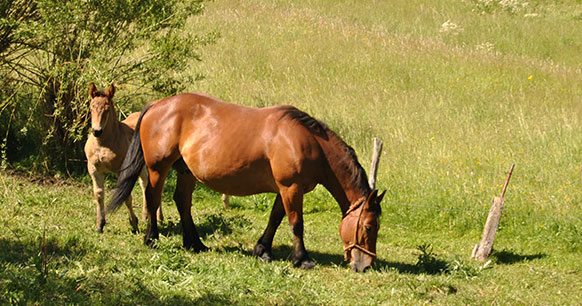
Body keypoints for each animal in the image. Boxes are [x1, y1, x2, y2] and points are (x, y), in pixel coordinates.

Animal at [84, 83, 163, 232]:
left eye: (107, 109)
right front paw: (99, 225)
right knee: (145, 183)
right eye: (91, 108)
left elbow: (126, 196)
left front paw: (134, 223)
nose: (96, 131)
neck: (104, 144)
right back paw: (146, 215)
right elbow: (98, 194)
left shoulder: (122, 170)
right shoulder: (94, 169)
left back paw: (159, 216)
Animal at [107, 92, 386, 272]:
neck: (308, 142)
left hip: (186, 171)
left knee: (182, 203)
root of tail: (157, 105)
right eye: (369, 226)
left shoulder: (284, 190)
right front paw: (302, 259)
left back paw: (195, 243)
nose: (366, 265)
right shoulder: (291, 188)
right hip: (158, 168)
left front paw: (263, 250)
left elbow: (275, 219)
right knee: (153, 199)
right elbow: (296, 224)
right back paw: (152, 238)